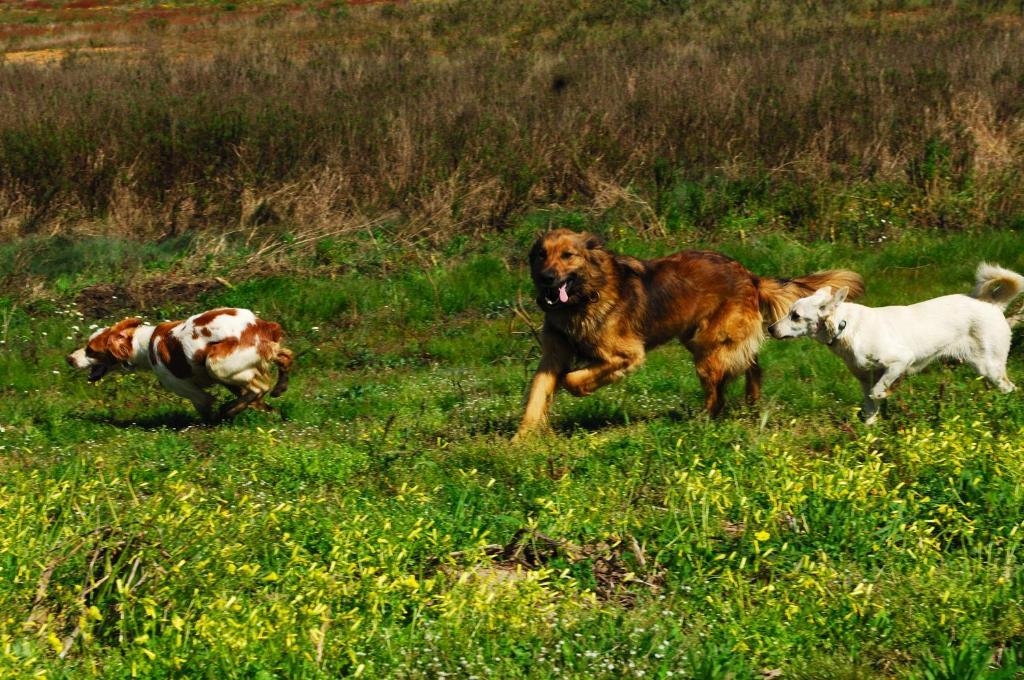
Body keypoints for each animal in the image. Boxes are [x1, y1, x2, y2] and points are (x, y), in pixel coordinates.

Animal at [66, 307, 292, 419]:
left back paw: (230, 409)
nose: (69, 359)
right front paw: (273, 414)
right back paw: (279, 388)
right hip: (244, 361)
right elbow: (256, 401)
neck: (145, 344)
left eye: (90, 350)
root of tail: (260, 325)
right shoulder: (233, 381)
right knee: (285, 357)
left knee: (260, 386)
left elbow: (208, 408)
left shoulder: (191, 391)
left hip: (216, 364)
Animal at [516, 231, 860, 438]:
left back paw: (701, 422)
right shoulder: (552, 354)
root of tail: (751, 275)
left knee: (719, 395)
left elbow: (573, 379)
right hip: (705, 342)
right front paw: (522, 440)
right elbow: (537, 395)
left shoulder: (626, 354)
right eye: (541, 255)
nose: (546, 278)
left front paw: (573, 387)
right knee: (752, 365)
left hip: (707, 351)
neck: (584, 296)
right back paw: (750, 402)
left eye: (567, 255)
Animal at [770, 262, 1019, 421]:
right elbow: (870, 411)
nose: (770, 328)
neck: (846, 327)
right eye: (789, 312)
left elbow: (877, 392)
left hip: (990, 367)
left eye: (795, 316)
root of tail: (992, 305)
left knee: (1011, 389)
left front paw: (886, 394)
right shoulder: (864, 379)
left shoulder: (900, 361)